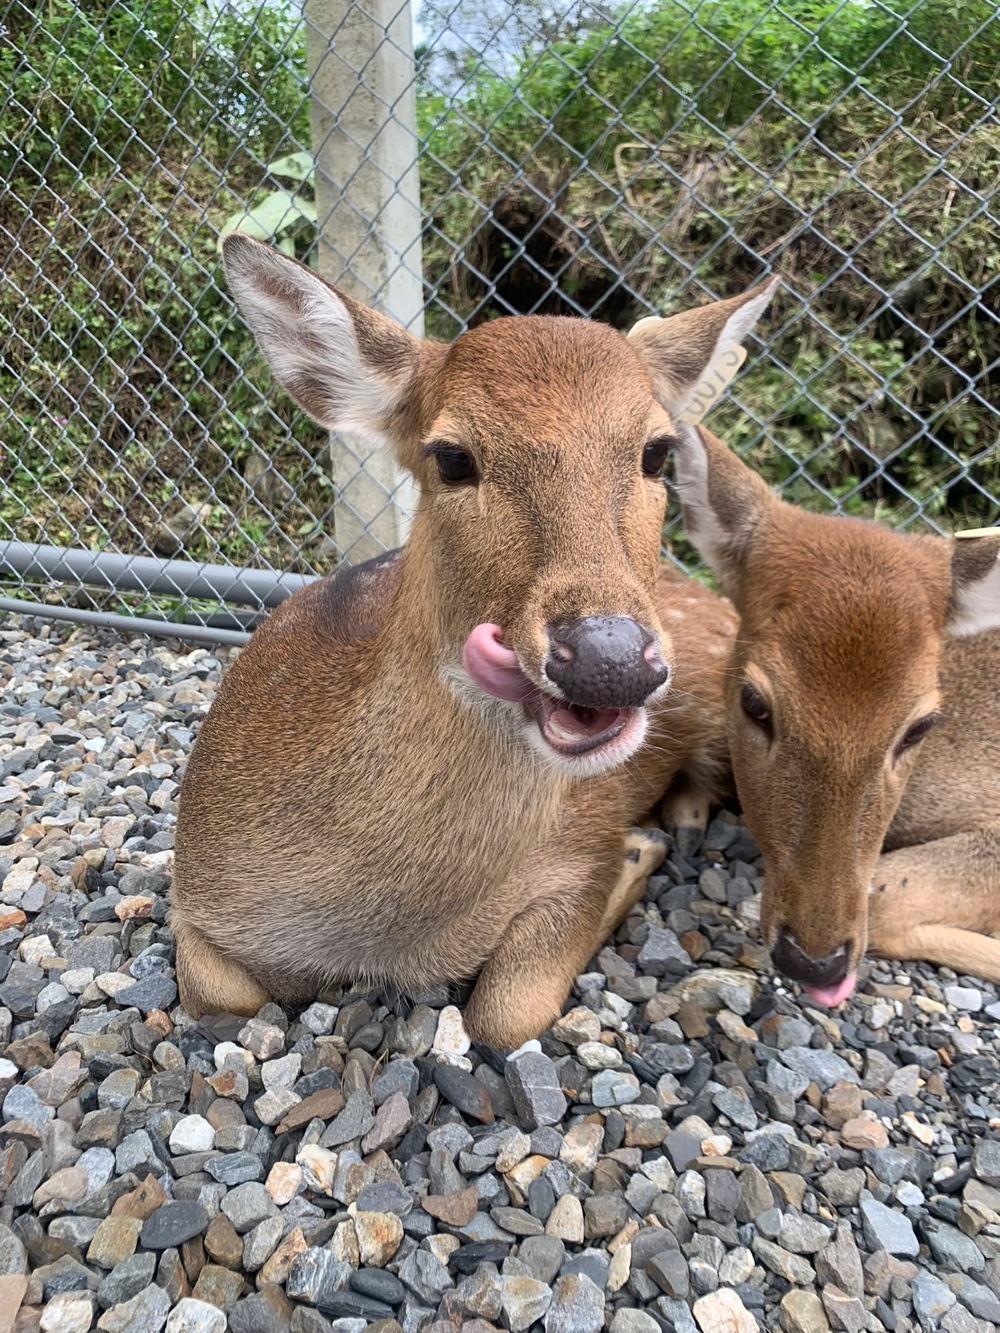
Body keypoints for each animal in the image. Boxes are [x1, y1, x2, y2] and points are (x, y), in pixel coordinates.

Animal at [169, 235, 771, 1049]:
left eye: (655, 451)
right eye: (452, 456)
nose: (609, 657)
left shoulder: (582, 838)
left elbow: (504, 1012)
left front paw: (635, 858)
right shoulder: (193, 890)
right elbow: (221, 996)